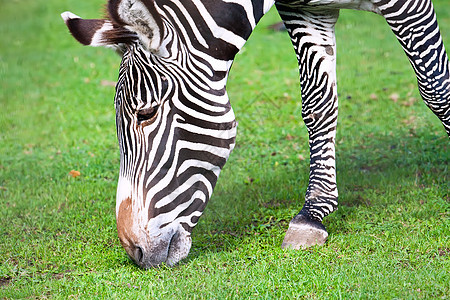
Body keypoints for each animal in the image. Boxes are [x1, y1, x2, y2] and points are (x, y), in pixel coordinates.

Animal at [60, 0, 450, 268]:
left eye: (147, 113)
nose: (135, 252)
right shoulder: (305, 10)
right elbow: (318, 102)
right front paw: (312, 213)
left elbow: (436, 87)